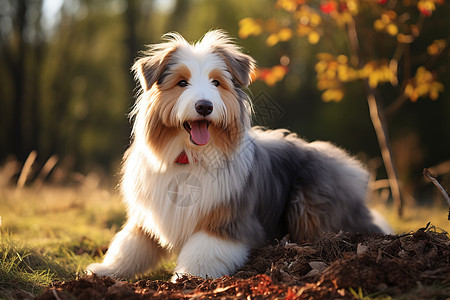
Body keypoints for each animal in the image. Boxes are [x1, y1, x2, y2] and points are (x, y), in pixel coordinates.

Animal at [87, 30, 386, 282]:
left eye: (216, 82)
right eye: (182, 82)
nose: (204, 106)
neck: (190, 157)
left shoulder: (227, 221)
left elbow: (202, 251)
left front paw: (187, 279)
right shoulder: (149, 215)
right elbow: (129, 245)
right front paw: (104, 270)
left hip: (311, 201)